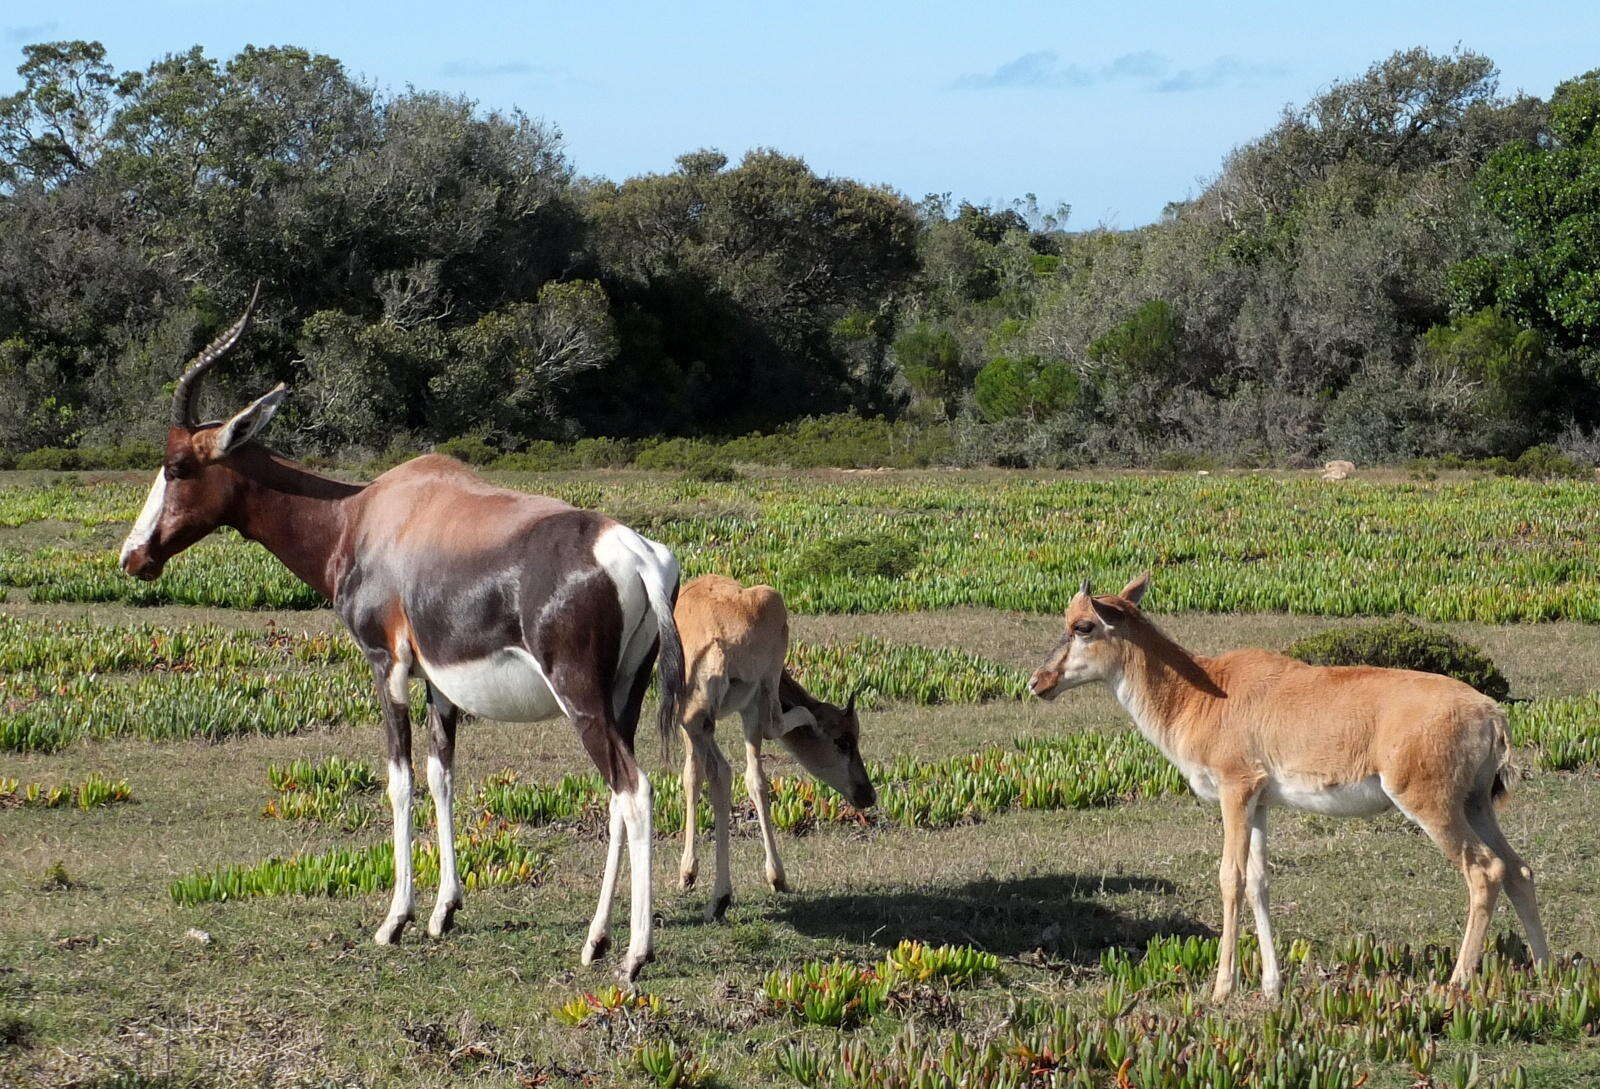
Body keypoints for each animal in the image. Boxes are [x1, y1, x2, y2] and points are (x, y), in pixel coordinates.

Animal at [116, 292, 681, 978]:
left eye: (176, 466)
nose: (133, 556)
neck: (364, 516)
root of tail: (634, 551)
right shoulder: (441, 682)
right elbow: (442, 775)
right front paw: (443, 912)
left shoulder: (387, 664)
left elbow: (399, 778)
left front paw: (396, 920)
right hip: (623, 695)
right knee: (618, 795)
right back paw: (595, 940)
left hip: (580, 696)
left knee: (635, 789)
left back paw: (634, 955)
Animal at [672, 572, 883, 921]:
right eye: (844, 741)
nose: (867, 794)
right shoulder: (720, 715)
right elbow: (728, 776)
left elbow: (697, 775)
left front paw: (688, 873)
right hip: (745, 700)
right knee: (752, 772)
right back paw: (764, 881)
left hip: (737, 699)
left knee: (739, 759)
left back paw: (726, 891)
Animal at [1030, 572, 1542, 997]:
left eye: (1083, 626)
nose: (1038, 682)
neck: (1207, 689)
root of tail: (1491, 713)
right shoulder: (1260, 804)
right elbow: (1259, 880)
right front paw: (1271, 985)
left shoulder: (1236, 792)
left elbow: (1231, 877)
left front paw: (1223, 988)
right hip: (1476, 806)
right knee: (1518, 869)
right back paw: (1545, 969)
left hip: (1433, 807)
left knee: (1486, 870)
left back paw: (1458, 981)